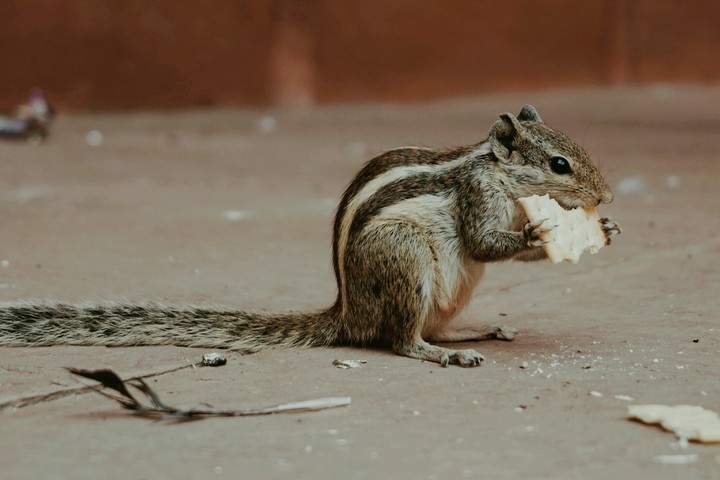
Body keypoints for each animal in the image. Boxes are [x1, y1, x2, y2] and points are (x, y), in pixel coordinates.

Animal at [0, 105, 621, 367]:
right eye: (560, 165)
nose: (609, 196)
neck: (494, 171)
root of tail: (349, 314)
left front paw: (605, 229)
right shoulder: (476, 196)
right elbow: (485, 243)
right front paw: (540, 235)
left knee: (427, 328)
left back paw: (473, 332)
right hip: (403, 255)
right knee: (400, 339)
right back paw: (442, 354)